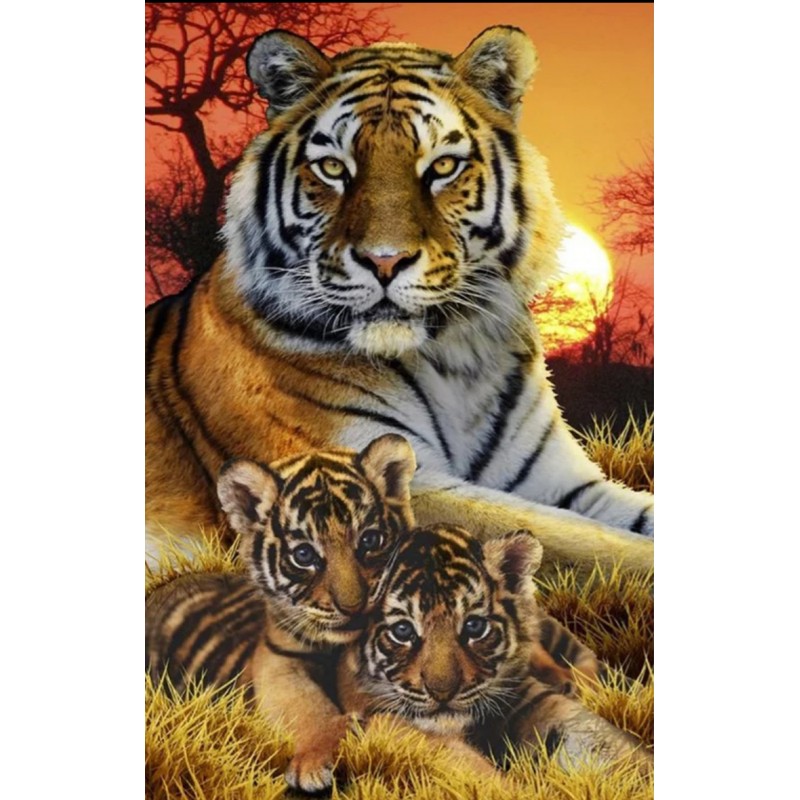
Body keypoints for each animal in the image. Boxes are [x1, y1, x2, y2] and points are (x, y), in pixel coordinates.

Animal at [145, 25, 654, 573]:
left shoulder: (561, 480)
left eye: (443, 166)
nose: (384, 260)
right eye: (332, 168)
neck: (457, 361)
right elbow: (590, 544)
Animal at [146, 433, 418, 792]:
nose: (353, 607)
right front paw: (315, 759)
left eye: (370, 540)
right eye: (304, 555)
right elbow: (305, 707)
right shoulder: (279, 662)